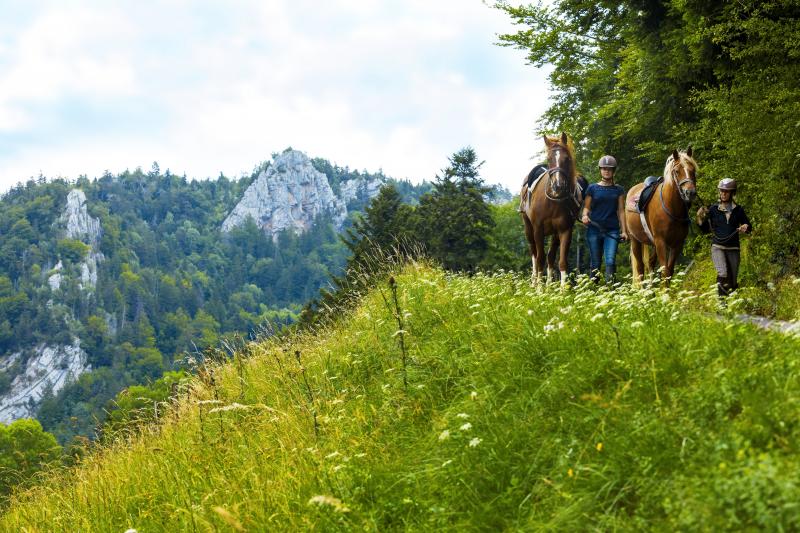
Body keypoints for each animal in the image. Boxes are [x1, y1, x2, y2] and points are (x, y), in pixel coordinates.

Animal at [520, 131, 580, 284]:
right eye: (549, 159)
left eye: (567, 158)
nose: (558, 186)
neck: (553, 202)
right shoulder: (538, 229)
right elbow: (540, 259)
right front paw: (539, 288)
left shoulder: (565, 230)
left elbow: (561, 261)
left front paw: (563, 288)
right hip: (528, 228)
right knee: (534, 254)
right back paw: (534, 281)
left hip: (554, 234)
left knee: (550, 256)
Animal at [624, 148, 700, 284]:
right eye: (676, 171)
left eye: (693, 170)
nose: (690, 192)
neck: (671, 208)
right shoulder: (661, 242)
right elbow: (665, 272)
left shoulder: (677, 244)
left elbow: (669, 271)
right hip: (635, 240)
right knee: (640, 269)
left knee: (651, 263)